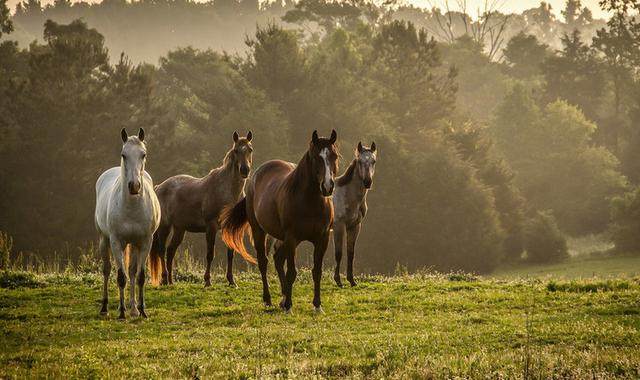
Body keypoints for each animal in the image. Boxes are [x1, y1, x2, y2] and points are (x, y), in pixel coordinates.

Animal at [95, 127, 161, 318]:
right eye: (124, 155)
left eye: (143, 154)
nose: (134, 186)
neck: (131, 208)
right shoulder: (116, 242)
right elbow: (120, 277)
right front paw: (122, 313)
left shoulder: (145, 242)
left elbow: (139, 276)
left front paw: (142, 310)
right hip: (104, 240)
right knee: (107, 270)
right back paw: (106, 307)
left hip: (134, 244)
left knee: (131, 271)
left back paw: (133, 308)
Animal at [150, 132, 258, 286]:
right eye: (236, 150)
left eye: (250, 149)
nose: (245, 170)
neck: (227, 191)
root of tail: (159, 187)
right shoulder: (211, 226)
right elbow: (210, 254)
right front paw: (207, 281)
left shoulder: (228, 227)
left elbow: (230, 254)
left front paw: (231, 281)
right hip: (164, 227)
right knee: (161, 250)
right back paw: (164, 279)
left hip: (179, 229)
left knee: (170, 251)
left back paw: (171, 281)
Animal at [221, 130, 340, 312]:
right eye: (316, 157)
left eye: (334, 156)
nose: (327, 187)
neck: (310, 202)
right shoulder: (292, 238)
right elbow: (292, 272)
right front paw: (289, 305)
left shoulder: (322, 238)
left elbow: (317, 271)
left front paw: (317, 305)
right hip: (260, 231)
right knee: (264, 262)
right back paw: (269, 299)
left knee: (277, 259)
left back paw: (283, 298)